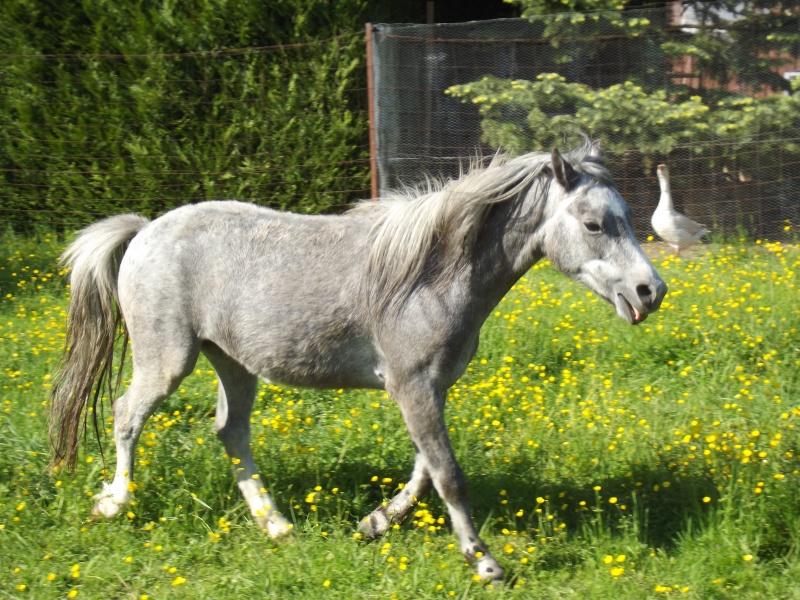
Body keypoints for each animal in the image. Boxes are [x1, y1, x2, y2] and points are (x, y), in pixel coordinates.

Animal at [47, 139, 664, 580]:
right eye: (593, 223)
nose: (650, 291)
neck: (431, 273)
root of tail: (144, 230)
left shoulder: (431, 387)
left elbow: (424, 469)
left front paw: (373, 524)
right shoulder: (412, 385)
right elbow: (448, 474)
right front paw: (485, 562)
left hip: (233, 363)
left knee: (230, 431)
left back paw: (277, 526)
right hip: (168, 359)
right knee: (127, 414)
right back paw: (114, 503)